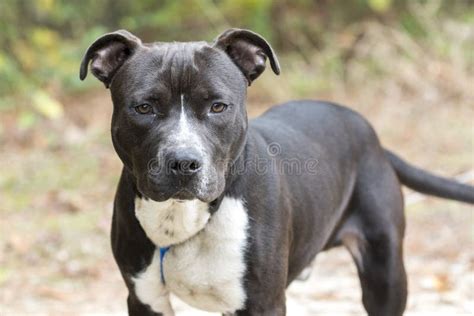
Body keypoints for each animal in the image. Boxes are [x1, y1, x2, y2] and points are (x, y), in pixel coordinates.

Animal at [79, 28, 472, 314]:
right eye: (144, 107)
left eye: (218, 106)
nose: (184, 162)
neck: (186, 217)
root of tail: (370, 134)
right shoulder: (144, 299)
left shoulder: (262, 302)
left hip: (384, 273)